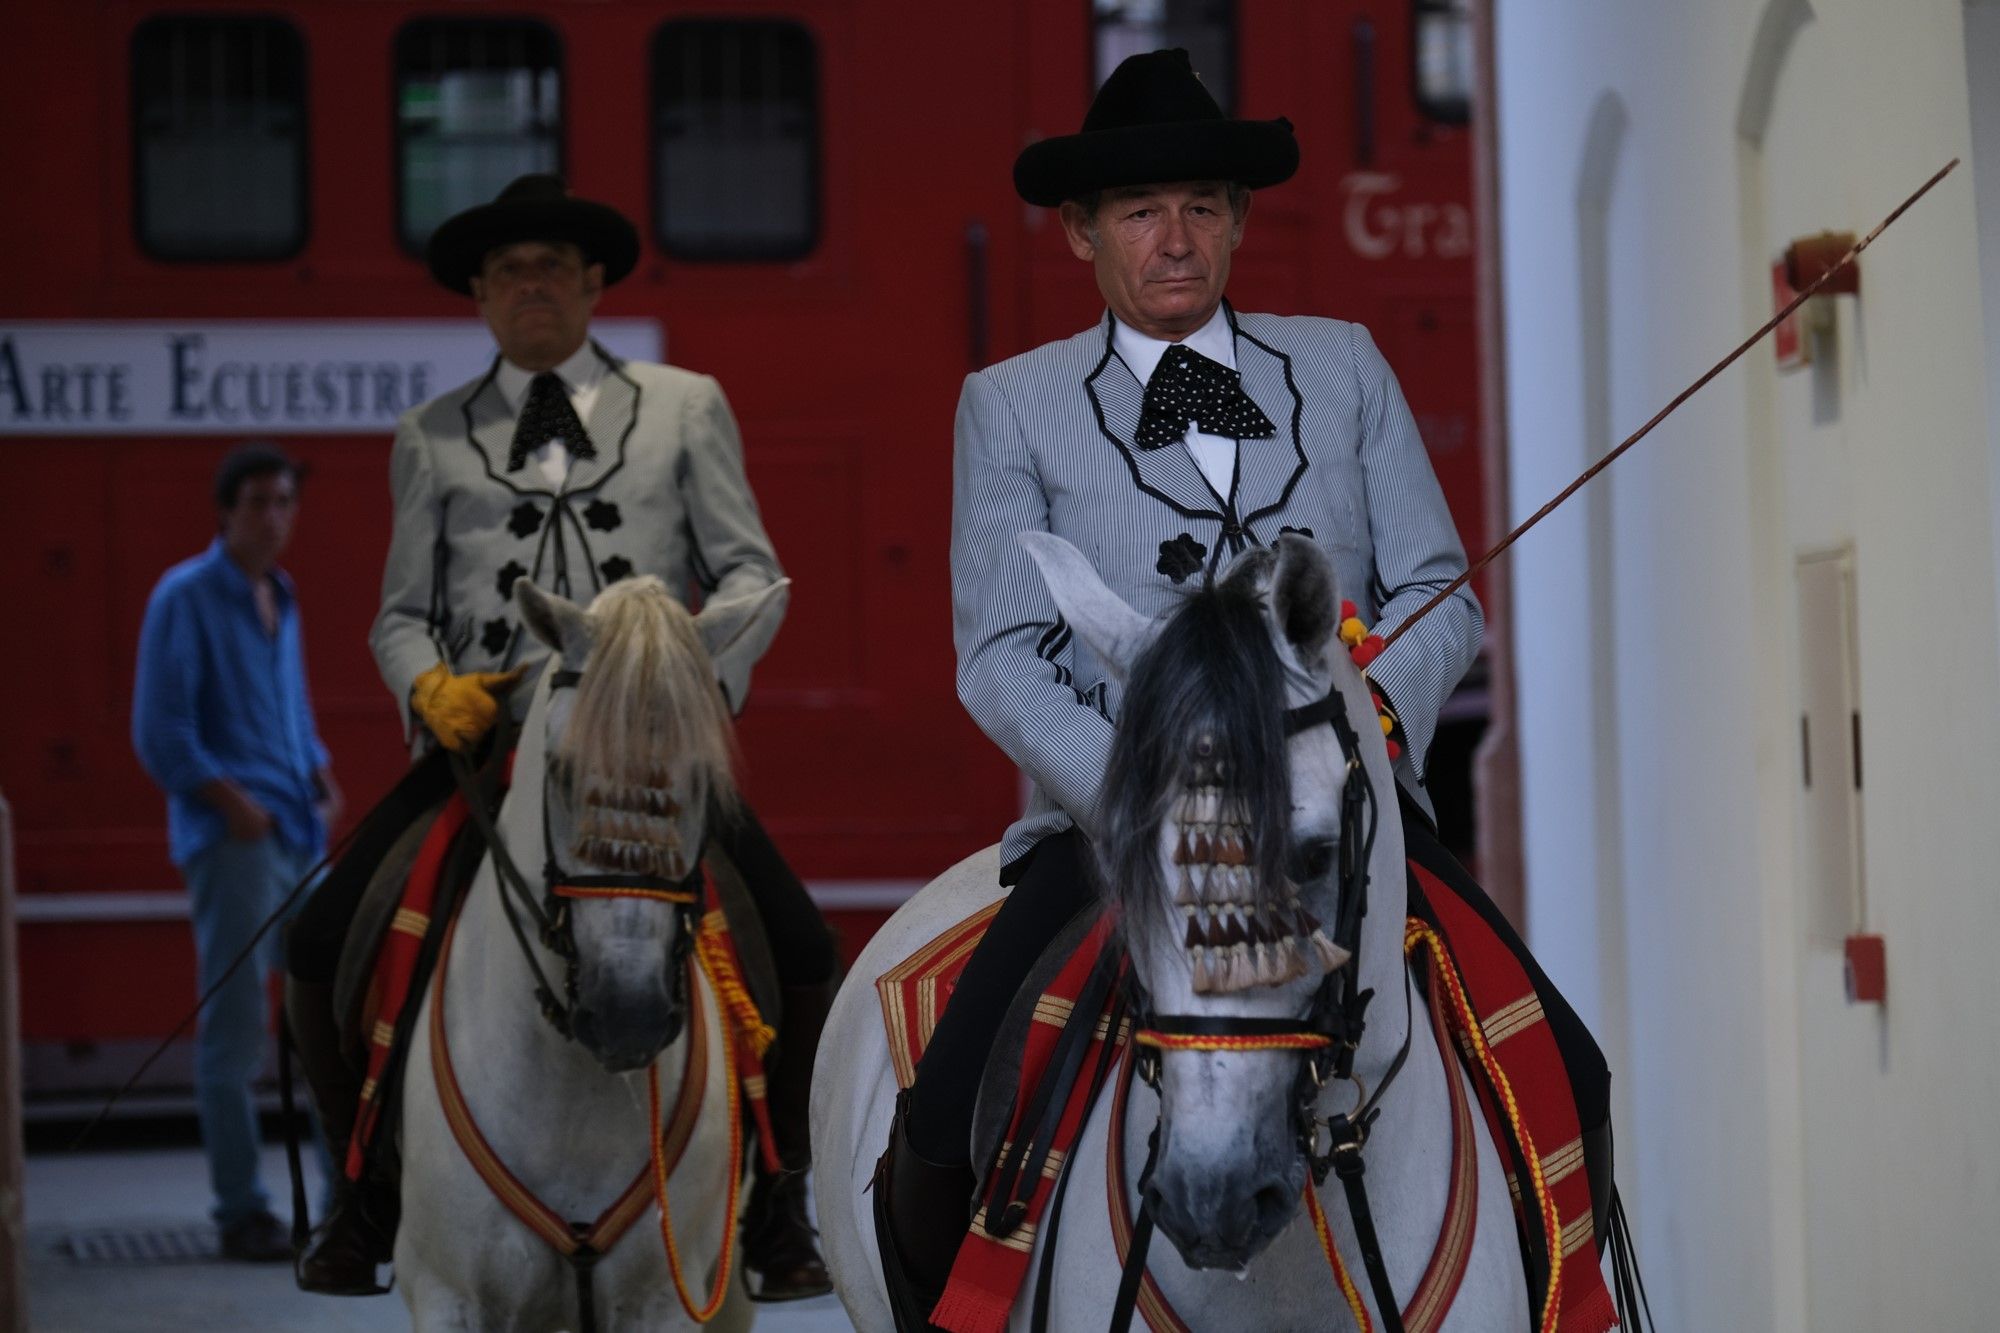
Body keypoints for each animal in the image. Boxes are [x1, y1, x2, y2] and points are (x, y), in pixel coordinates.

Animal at [394, 572, 784, 1328]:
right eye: (563, 770)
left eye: (703, 777)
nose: (629, 1015)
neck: (571, 1090)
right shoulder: (446, 1292)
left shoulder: (663, 1297)